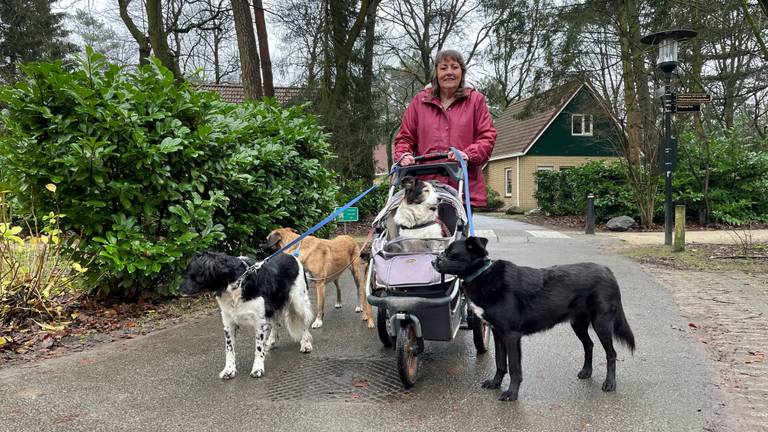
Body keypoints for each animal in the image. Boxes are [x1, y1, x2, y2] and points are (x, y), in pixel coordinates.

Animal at [178, 251, 314, 380]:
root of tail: (292, 256)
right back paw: (271, 342)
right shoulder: (228, 323)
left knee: (304, 322)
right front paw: (229, 370)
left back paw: (306, 343)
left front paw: (258, 369)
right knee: (276, 323)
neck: (235, 284)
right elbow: (229, 349)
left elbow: (258, 348)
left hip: (299, 302)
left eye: (191, 273)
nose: (178, 290)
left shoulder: (259, 322)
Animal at [432, 236, 636, 402]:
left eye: (451, 253)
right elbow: (500, 363)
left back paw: (610, 383)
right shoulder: (498, 334)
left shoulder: (512, 336)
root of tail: (607, 271)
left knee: (611, 354)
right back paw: (587, 372)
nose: (433, 260)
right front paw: (495, 383)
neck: (483, 275)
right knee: (589, 345)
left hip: (602, 324)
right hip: (578, 324)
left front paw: (511, 393)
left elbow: (514, 368)